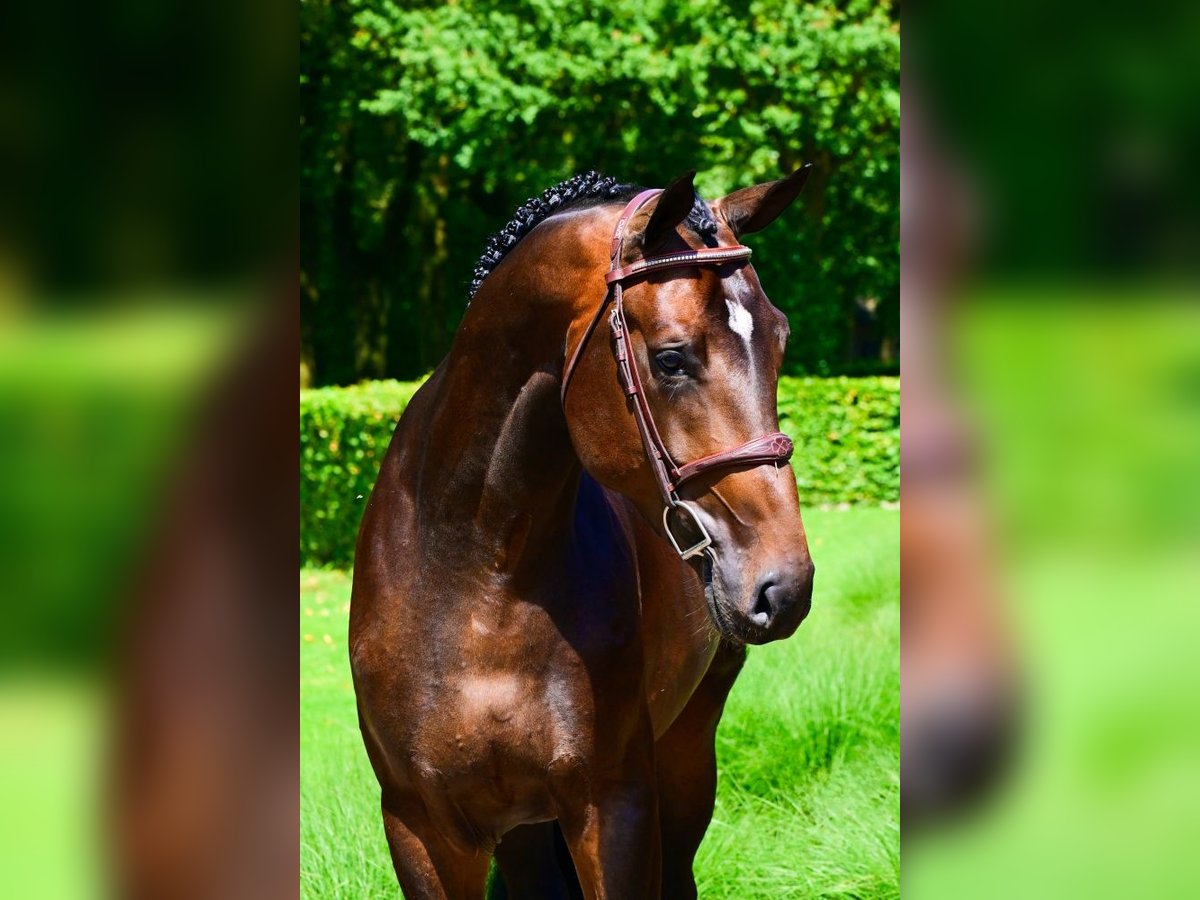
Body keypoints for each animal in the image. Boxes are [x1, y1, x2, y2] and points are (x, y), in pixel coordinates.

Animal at [348, 165, 816, 897]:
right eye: (671, 359)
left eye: (780, 340)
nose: (783, 586)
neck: (477, 577)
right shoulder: (420, 828)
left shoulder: (614, 805)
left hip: (685, 751)